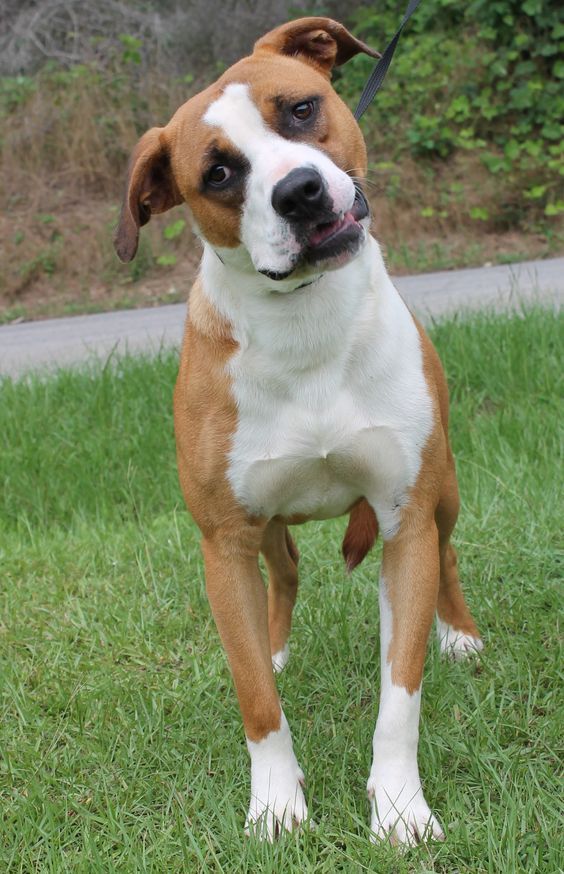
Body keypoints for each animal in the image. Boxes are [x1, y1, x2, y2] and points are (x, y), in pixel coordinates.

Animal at [115, 15, 484, 844]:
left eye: (302, 109)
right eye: (219, 172)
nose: (299, 191)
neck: (306, 326)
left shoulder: (404, 520)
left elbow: (400, 693)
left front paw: (399, 807)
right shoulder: (223, 545)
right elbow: (255, 696)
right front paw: (277, 803)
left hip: (441, 493)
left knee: (445, 554)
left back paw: (458, 634)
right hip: (264, 528)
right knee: (282, 574)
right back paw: (279, 644)